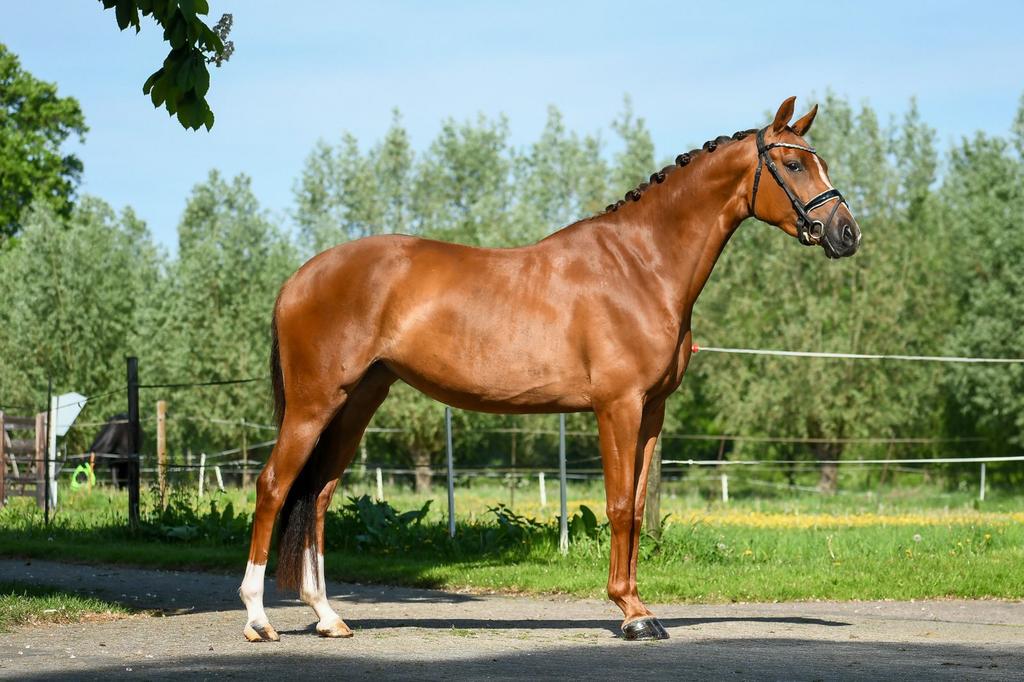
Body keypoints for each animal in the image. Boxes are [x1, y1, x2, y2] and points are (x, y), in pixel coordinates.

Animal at [239, 97, 861, 642]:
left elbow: (638, 507)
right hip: (315, 403)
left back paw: (328, 617)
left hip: (359, 401)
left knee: (318, 493)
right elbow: (618, 506)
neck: (641, 265)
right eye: (792, 163)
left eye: (820, 162)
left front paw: (640, 607)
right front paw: (631, 615)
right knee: (273, 486)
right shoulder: (618, 406)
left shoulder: (652, 411)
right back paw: (258, 619)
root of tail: (299, 278)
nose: (846, 233)